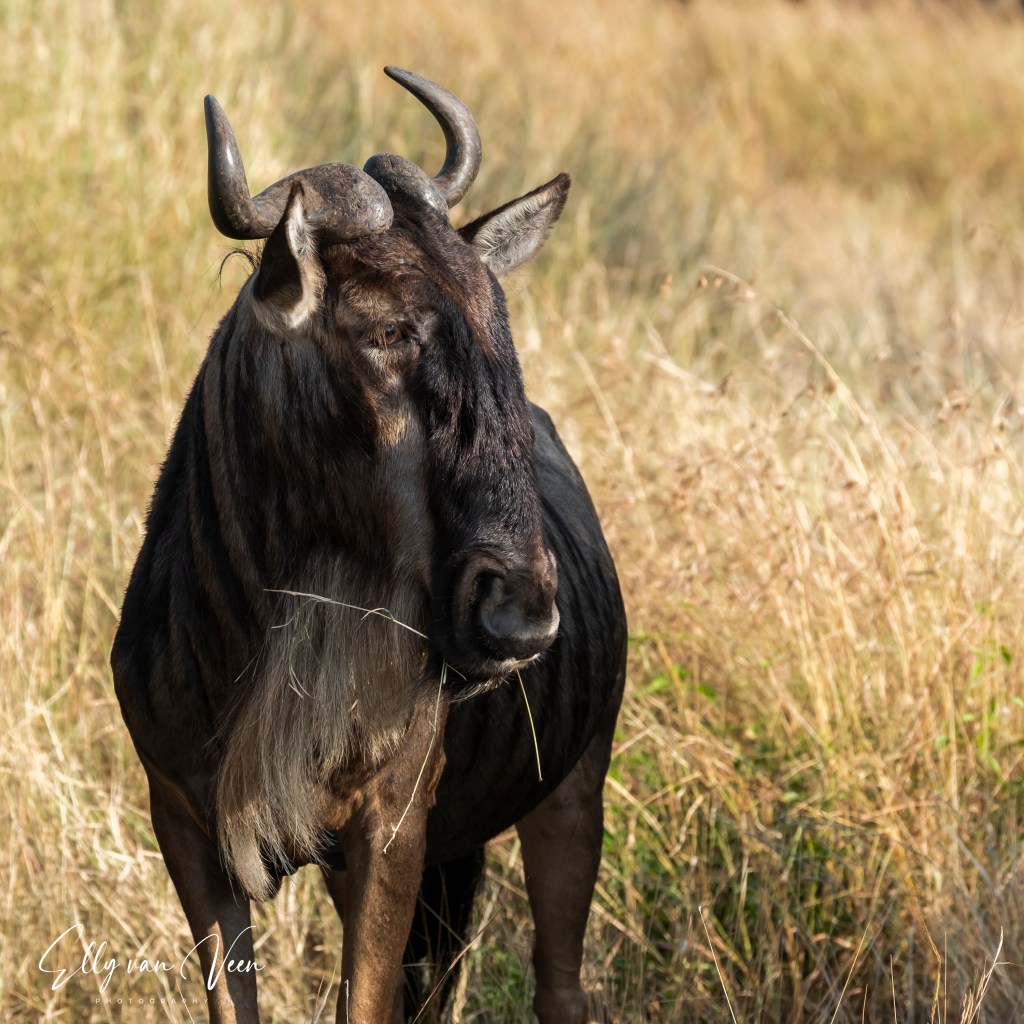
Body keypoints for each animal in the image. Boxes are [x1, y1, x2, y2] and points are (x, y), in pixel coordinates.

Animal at [111, 67, 626, 1024]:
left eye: (497, 317)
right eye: (387, 329)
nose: (520, 619)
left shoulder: (388, 832)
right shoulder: (187, 829)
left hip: (573, 793)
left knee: (561, 988)